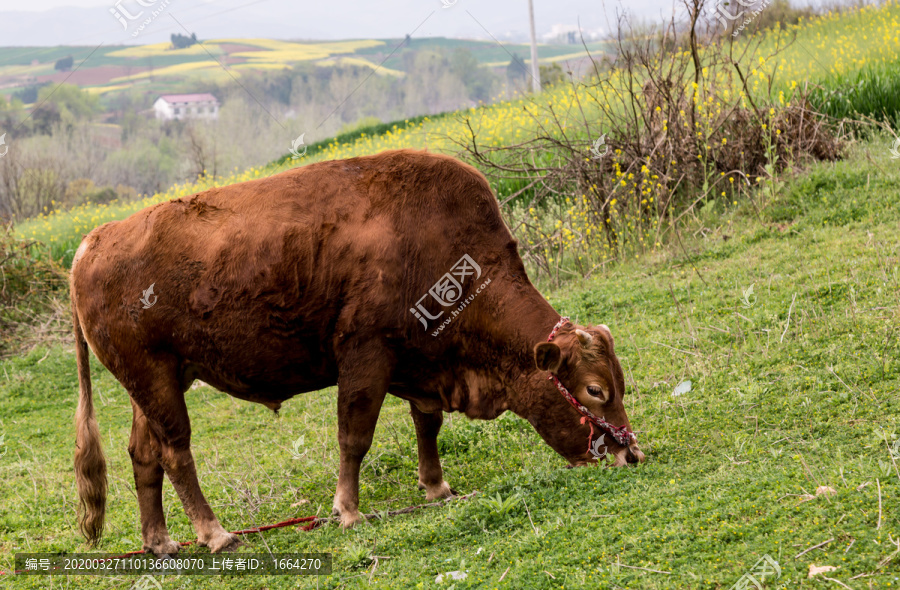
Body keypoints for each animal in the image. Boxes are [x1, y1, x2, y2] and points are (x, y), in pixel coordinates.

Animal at [72, 148, 648, 556]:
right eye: (594, 390)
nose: (632, 454)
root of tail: (93, 241)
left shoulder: (421, 364)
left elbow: (427, 425)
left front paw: (437, 488)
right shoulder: (366, 356)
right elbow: (355, 437)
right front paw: (348, 511)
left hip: (155, 383)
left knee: (143, 455)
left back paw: (160, 541)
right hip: (157, 381)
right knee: (176, 453)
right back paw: (215, 533)